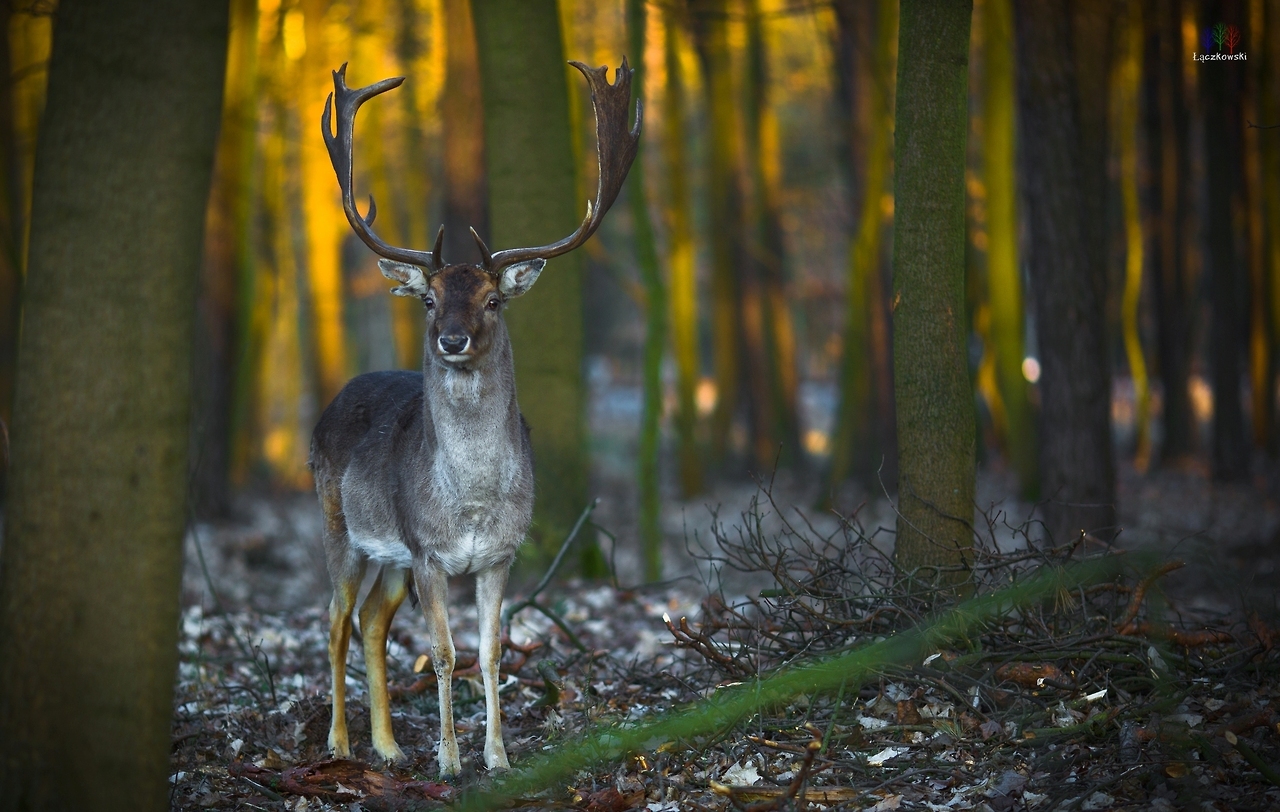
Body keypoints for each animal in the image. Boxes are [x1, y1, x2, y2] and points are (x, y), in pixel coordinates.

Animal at [309, 60, 640, 773]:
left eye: (492, 298)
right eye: (430, 298)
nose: (452, 340)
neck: (472, 504)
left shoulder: (498, 554)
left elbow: (488, 652)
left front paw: (496, 756)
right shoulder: (428, 550)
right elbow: (442, 652)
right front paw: (449, 759)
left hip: (392, 556)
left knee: (371, 620)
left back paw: (388, 747)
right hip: (338, 522)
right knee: (336, 619)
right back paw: (340, 743)